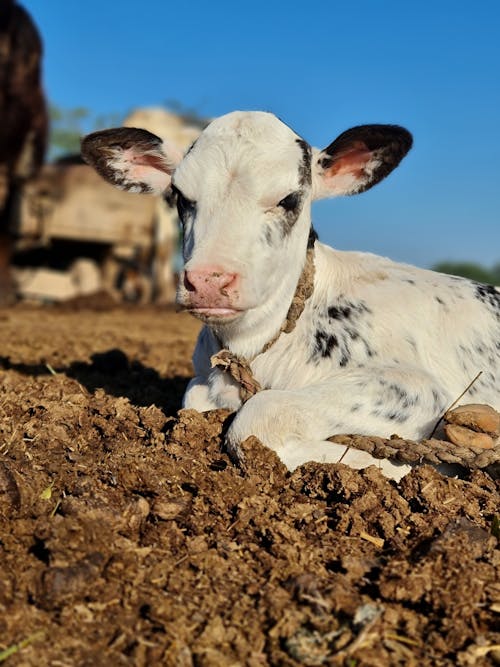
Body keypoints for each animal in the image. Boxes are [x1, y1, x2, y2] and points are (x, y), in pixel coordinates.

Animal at [83, 113, 500, 480]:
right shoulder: (203, 379)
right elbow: (195, 398)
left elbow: (255, 420)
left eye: (289, 199)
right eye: (180, 197)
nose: (208, 280)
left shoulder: (416, 387)